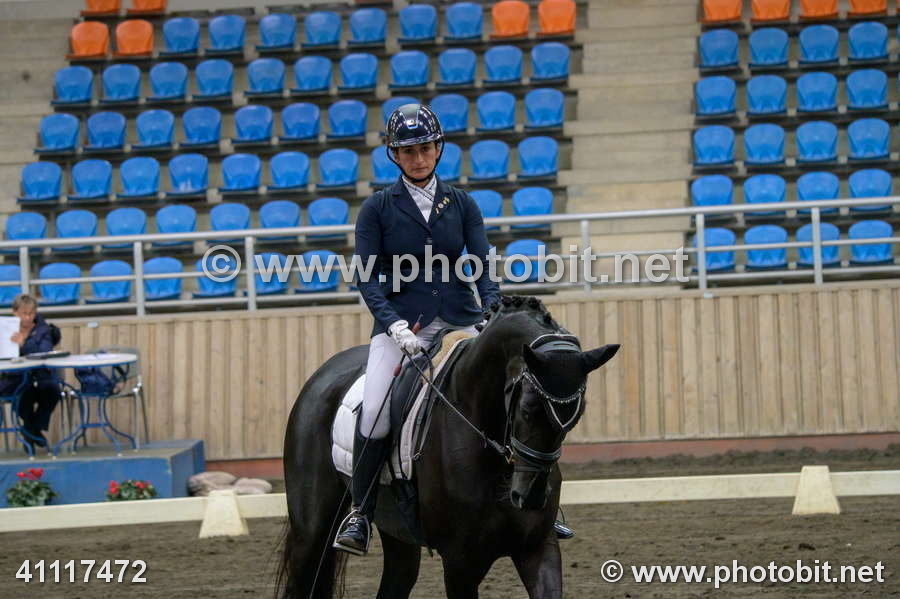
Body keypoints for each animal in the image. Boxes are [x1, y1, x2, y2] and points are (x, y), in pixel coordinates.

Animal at [278, 295, 619, 599]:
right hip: (312, 532)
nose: (530, 497)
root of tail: (322, 375)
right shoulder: (460, 562)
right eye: (527, 409)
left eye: (577, 414)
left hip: (399, 533)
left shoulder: (537, 548)